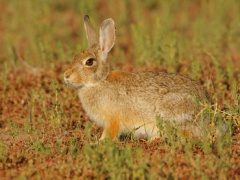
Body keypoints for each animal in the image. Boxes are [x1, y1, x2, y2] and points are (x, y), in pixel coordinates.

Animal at [63, 15, 210, 141]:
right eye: (75, 56)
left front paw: (99, 143)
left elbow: (110, 134)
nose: (66, 76)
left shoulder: (113, 120)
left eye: (89, 62)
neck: (99, 81)